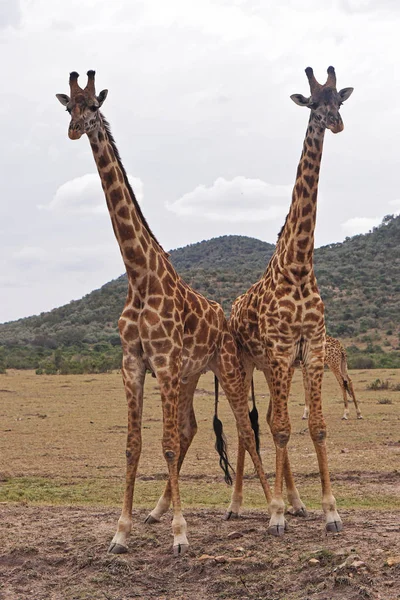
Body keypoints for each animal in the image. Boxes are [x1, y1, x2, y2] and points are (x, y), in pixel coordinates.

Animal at [55, 71, 276, 556]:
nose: (75, 130)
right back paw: (157, 510)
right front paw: (122, 532)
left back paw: (275, 511)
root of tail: (226, 321)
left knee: (243, 430)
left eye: (94, 106)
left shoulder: (165, 363)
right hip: (190, 376)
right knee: (193, 428)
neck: (139, 276)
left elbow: (168, 445)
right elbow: (134, 446)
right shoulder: (135, 363)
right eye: (67, 107)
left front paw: (180, 534)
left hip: (226, 368)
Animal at [227, 65, 354, 536]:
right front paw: (276, 514)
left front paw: (328, 511)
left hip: (271, 367)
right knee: (248, 424)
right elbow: (282, 429)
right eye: (314, 103)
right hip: (248, 363)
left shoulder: (311, 351)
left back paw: (296, 502)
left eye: (340, 100)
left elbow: (315, 428)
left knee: (264, 419)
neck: (299, 266)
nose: (335, 123)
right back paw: (240, 505)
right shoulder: (282, 351)